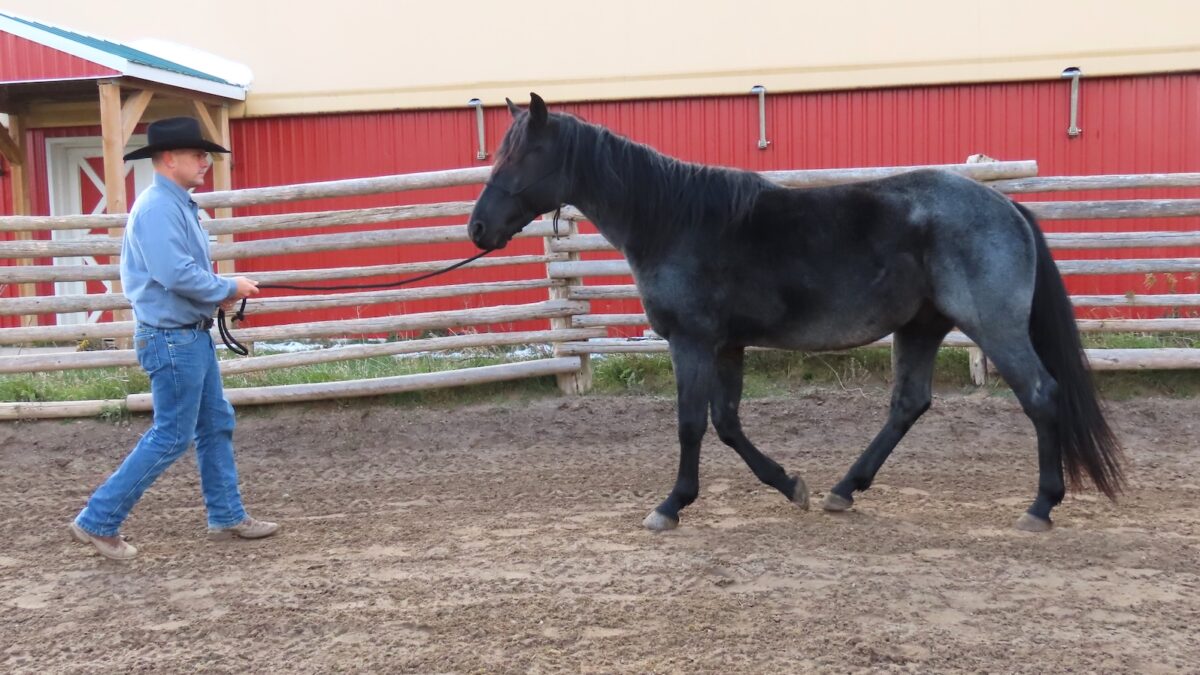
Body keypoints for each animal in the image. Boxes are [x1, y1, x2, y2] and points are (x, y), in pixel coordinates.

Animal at [468, 93, 1123, 533]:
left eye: (523, 156)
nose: (477, 229)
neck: (675, 220)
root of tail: (1006, 207)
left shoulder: (692, 341)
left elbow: (691, 424)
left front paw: (671, 506)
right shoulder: (726, 346)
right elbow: (728, 424)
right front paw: (790, 486)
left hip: (995, 328)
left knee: (1040, 394)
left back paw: (1041, 506)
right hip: (920, 327)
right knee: (909, 405)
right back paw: (844, 489)